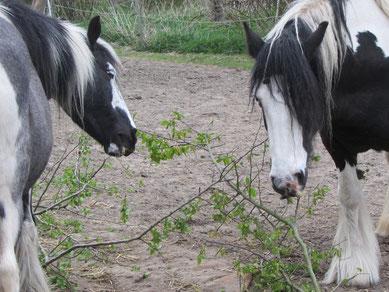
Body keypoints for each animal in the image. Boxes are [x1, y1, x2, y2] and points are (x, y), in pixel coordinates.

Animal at [244, 0, 388, 288]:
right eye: (260, 100)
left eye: (307, 95)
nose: (285, 182)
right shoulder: (339, 146)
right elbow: (349, 197)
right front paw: (355, 267)